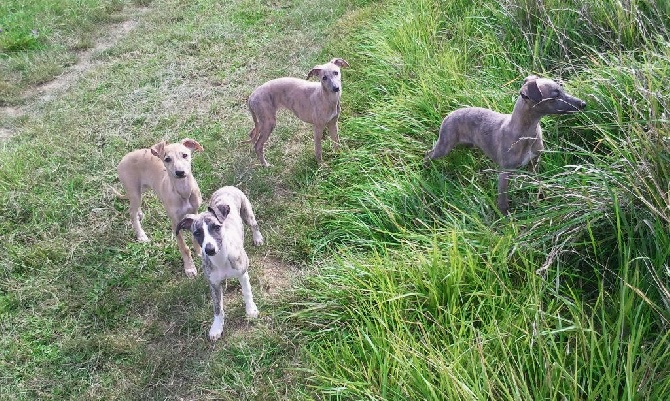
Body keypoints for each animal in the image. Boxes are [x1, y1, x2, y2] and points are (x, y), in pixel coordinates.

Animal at [426, 75, 588, 212]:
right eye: (555, 96)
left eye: (562, 89)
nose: (583, 104)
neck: (525, 134)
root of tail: (449, 115)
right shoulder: (505, 173)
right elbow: (503, 201)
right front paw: (506, 219)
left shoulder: (534, 163)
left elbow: (539, 183)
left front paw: (542, 199)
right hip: (444, 145)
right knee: (428, 154)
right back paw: (426, 167)